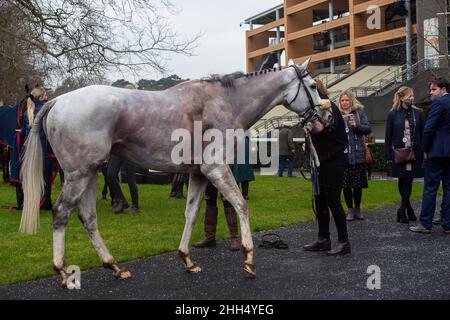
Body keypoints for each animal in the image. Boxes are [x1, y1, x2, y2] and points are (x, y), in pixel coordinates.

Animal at [20, 58, 330, 288]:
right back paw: (63, 271)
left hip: (91, 173)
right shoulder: (216, 168)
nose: (325, 117)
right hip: (79, 174)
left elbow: (191, 214)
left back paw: (115, 266)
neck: (225, 101)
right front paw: (249, 259)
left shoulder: (199, 174)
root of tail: (58, 101)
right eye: (312, 86)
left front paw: (187, 259)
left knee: (88, 217)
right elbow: (241, 205)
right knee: (62, 212)